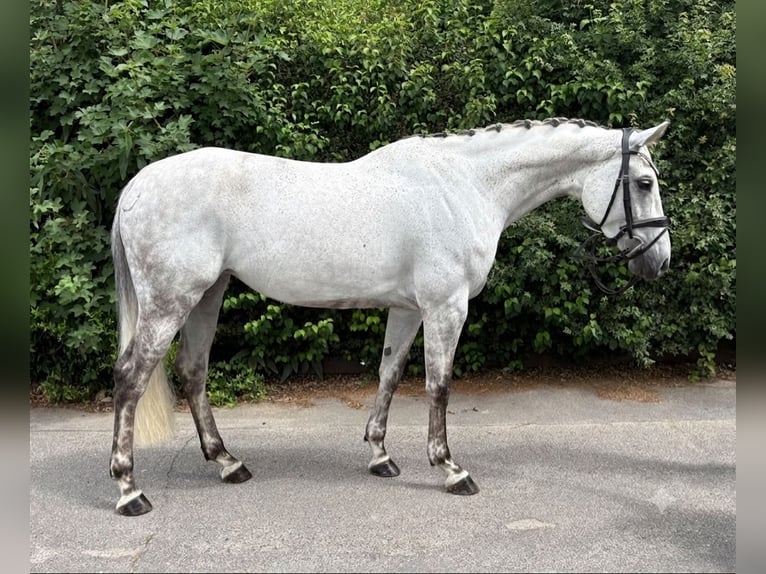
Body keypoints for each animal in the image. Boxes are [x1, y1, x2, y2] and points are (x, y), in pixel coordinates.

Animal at [109, 117, 671, 516]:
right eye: (644, 182)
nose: (659, 261)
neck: (464, 186)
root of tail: (136, 186)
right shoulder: (447, 307)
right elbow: (438, 385)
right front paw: (450, 469)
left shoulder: (407, 309)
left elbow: (390, 374)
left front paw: (380, 456)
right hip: (170, 301)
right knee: (130, 378)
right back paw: (129, 490)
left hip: (208, 295)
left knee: (193, 372)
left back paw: (228, 463)